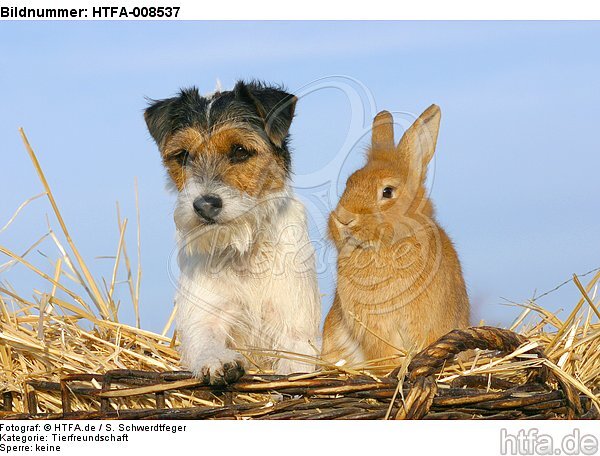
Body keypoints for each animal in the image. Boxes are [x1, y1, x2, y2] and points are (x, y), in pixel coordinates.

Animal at [144, 80, 324, 382]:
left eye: (240, 151)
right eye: (183, 155)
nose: (205, 205)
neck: (244, 249)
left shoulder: (295, 331)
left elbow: (295, 363)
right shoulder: (205, 317)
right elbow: (206, 341)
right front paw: (219, 361)